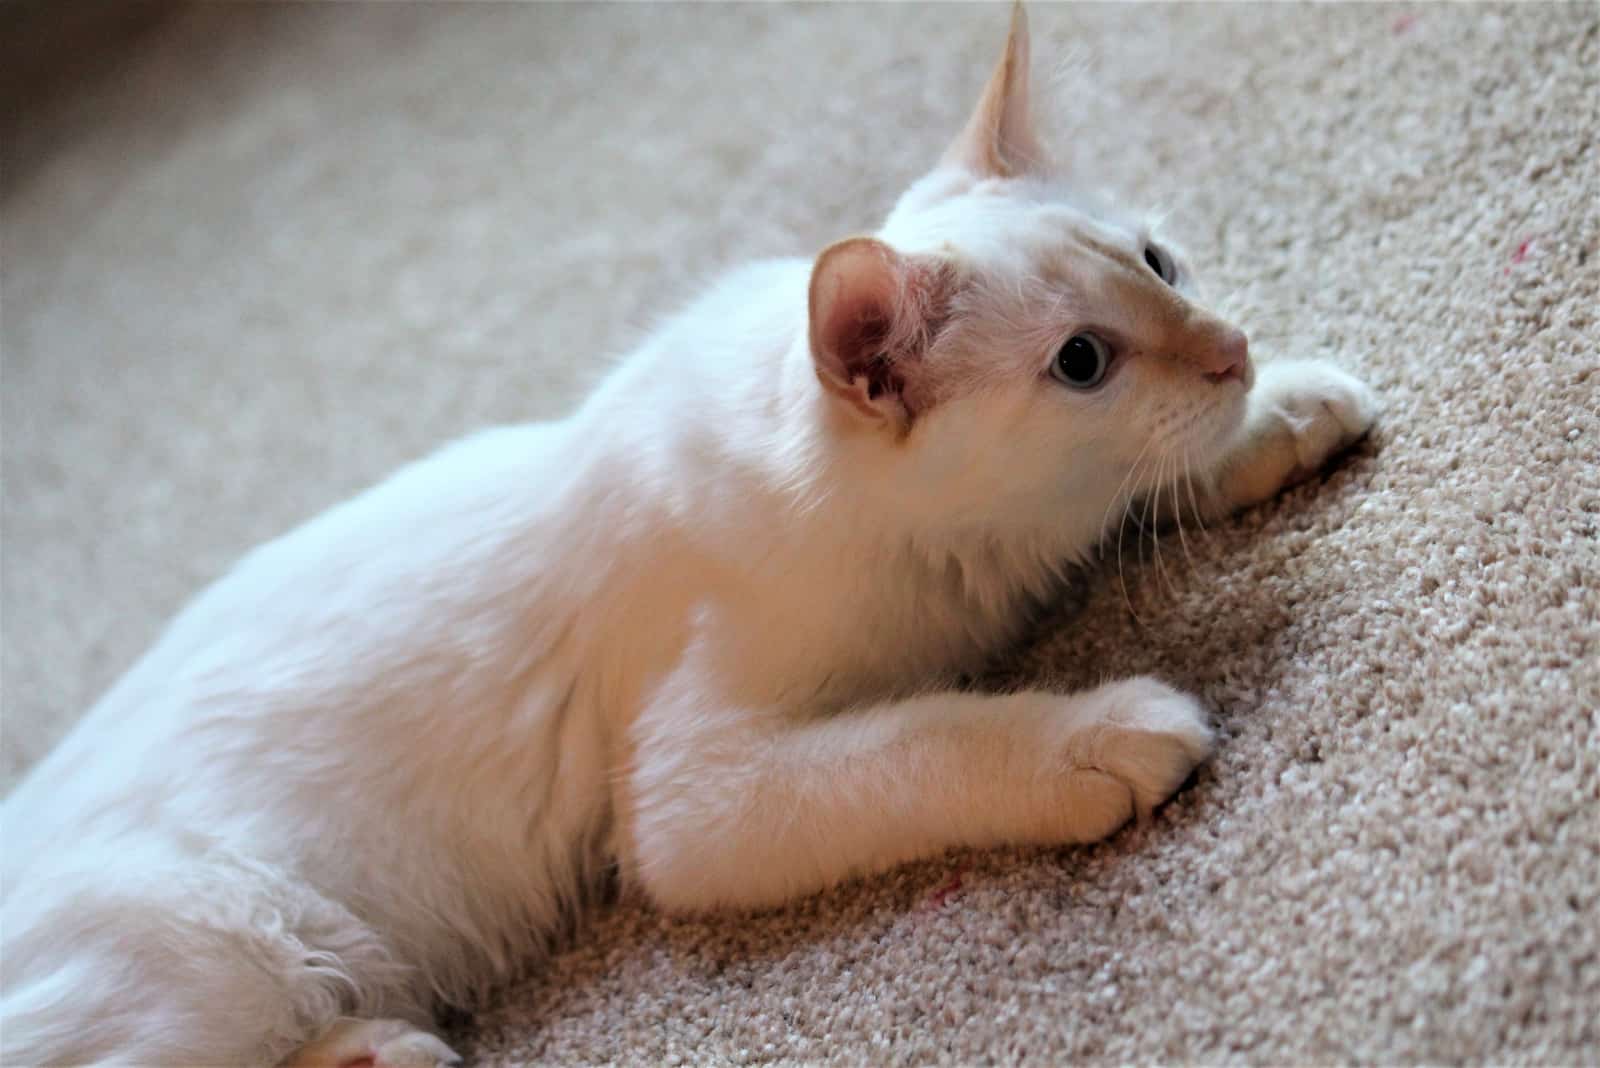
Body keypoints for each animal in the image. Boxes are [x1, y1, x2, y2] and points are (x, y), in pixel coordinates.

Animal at [0, 4, 1376, 1061]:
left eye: (1159, 263)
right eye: (1081, 362)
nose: (1229, 349)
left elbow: (1125, 494)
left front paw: (1277, 410)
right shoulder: (698, 795)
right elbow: (923, 743)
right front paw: (1097, 735)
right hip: (225, 946)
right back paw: (375, 1048)